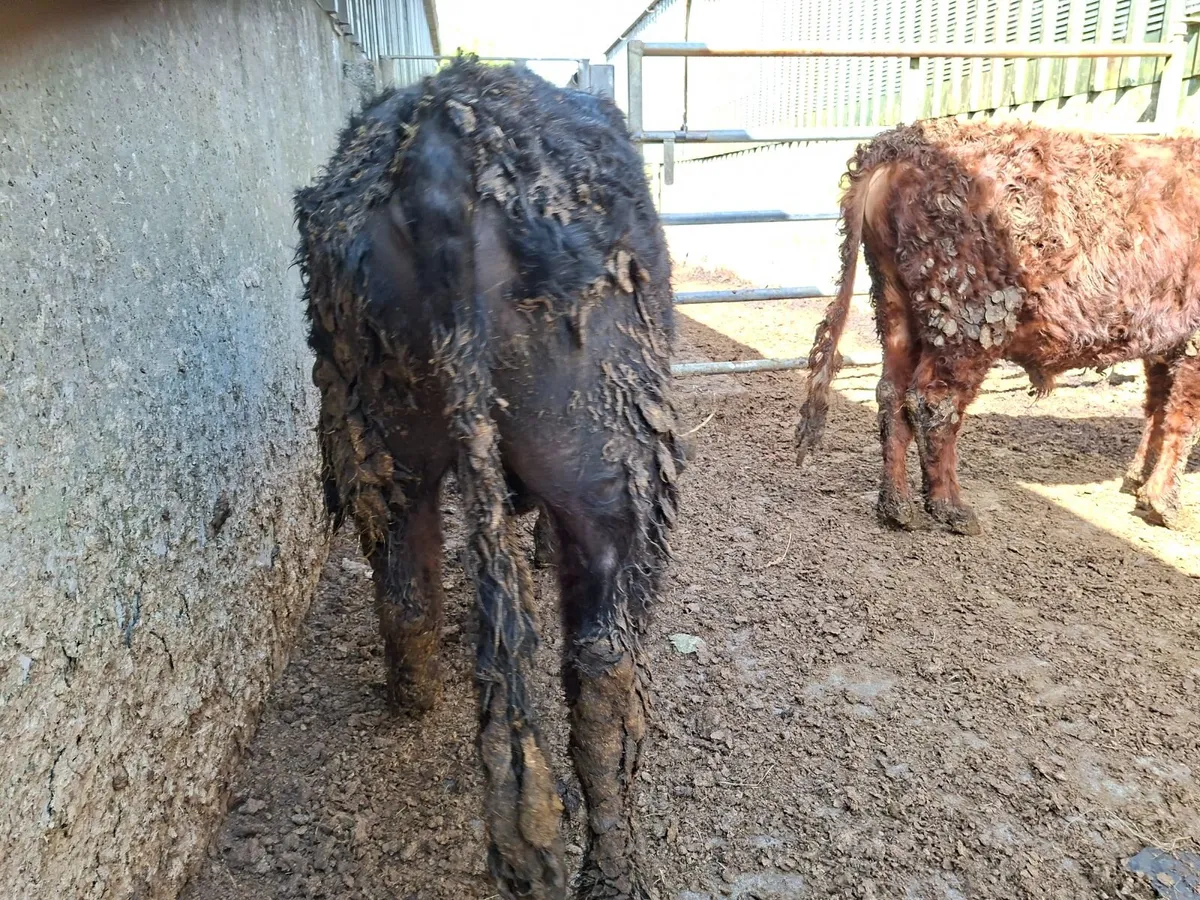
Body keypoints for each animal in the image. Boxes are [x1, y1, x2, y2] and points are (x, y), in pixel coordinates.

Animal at [294, 57, 684, 900]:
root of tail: (441, 139)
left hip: (378, 434)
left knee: (407, 593)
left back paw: (412, 701)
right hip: (609, 467)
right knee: (604, 666)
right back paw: (615, 870)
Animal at [795, 118, 1200, 535]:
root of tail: (903, 143)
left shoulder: (1164, 341)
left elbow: (1157, 408)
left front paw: (1137, 482)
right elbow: (1182, 418)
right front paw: (1163, 504)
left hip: (897, 306)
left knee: (892, 394)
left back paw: (897, 507)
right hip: (965, 322)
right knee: (933, 404)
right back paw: (952, 508)